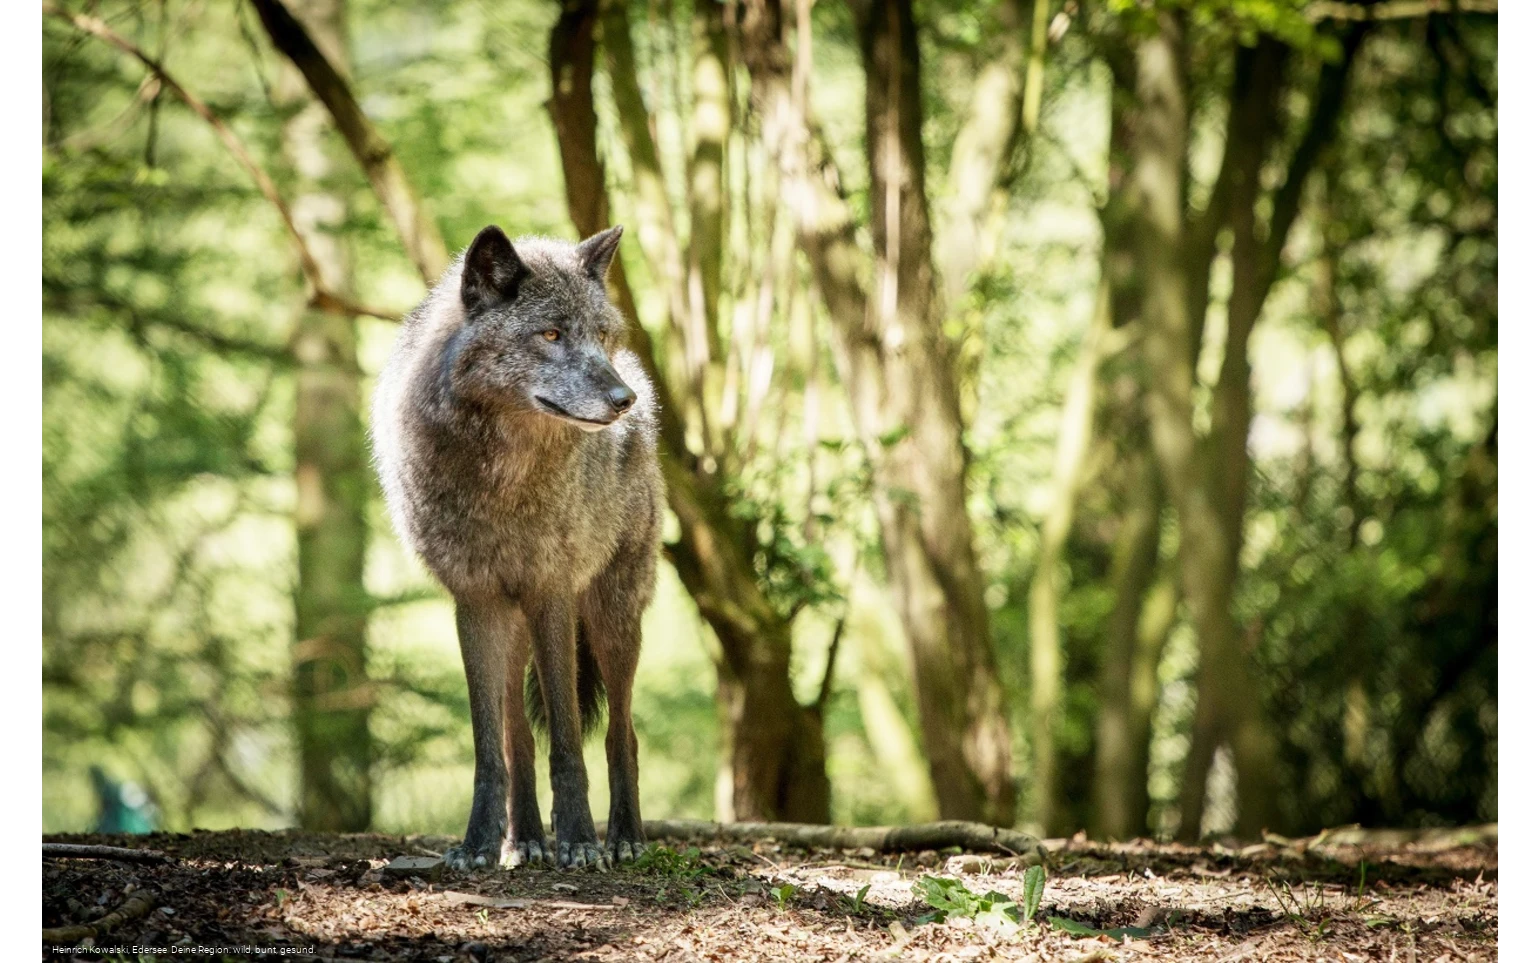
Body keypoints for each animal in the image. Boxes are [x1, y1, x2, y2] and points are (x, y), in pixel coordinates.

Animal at [371, 223, 661, 870]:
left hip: (611, 616)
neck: (502, 476)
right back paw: (522, 839)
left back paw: (625, 838)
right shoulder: (475, 601)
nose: (623, 399)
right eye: (551, 334)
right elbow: (490, 747)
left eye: (600, 336)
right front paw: (480, 842)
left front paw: (579, 841)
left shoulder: (551, 591)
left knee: (622, 733)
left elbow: (569, 743)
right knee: (517, 738)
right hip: (514, 624)